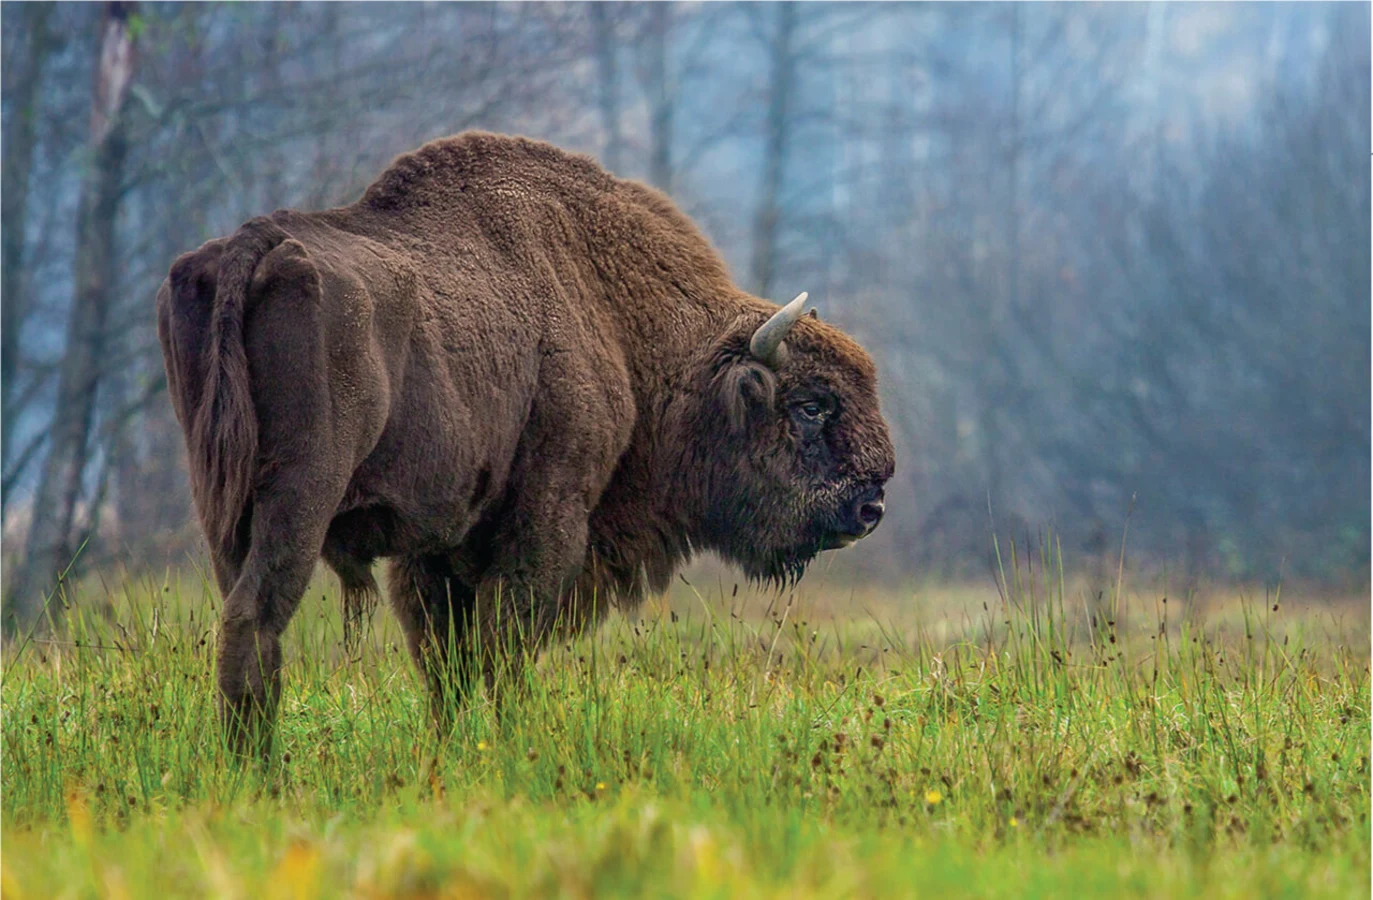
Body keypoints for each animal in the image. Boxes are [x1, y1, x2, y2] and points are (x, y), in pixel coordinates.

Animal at [155, 130, 895, 758]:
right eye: (810, 404)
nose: (871, 506)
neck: (617, 318)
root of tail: (253, 243)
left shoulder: (434, 550)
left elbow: (447, 665)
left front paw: (447, 754)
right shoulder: (546, 518)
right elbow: (503, 651)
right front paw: (513, 747)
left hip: (221, 505)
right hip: (301, 496)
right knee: (256, 618)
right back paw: (261, 771)